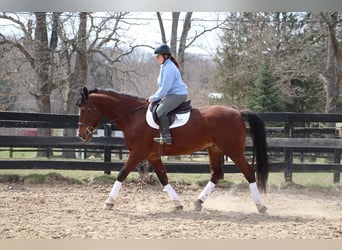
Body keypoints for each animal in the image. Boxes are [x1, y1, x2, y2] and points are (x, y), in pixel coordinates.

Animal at [77, 86, 270, 213]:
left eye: (86, 109)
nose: (81, 134)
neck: (133, 116)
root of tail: (238, 112)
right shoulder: (153, 156)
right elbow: (163, 178)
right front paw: (177, 204)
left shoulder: (138, 153)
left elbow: (122, 173)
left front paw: (109, 202)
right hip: (215, 150)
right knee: (216, 175)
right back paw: (198, 203)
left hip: (233, 151)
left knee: (249, 173)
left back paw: (260, 206)